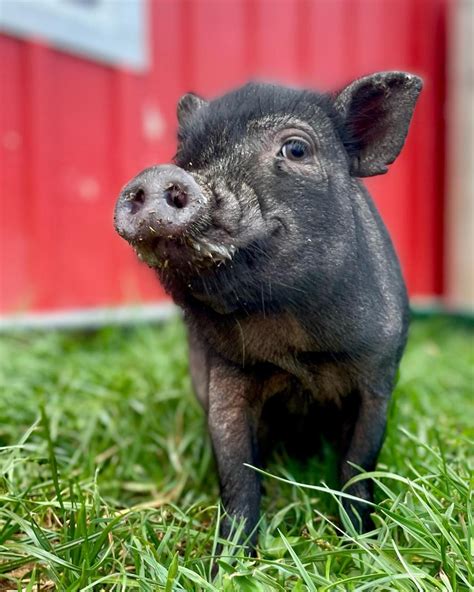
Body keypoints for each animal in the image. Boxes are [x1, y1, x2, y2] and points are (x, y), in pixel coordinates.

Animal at [114, 73, 422, 552]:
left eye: (295, 149)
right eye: (183, 153)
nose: (161, 172)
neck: (296, 345)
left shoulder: (378, 372)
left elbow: (358, 466)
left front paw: (361, 544)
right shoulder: (226, 371)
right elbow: (236, 472)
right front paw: (229, 558)